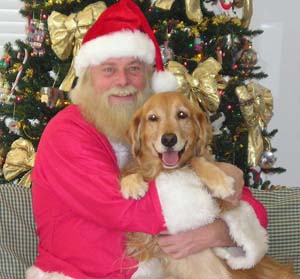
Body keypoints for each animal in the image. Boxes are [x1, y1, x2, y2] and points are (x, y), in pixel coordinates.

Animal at [120, 92, 300, 279]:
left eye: (182, 115)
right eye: (153, 118)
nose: (169, 139)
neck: (164, 169)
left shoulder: (227, 202)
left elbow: (196, 160)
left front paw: (219, 181)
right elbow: (131, 172)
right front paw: (131, 184)